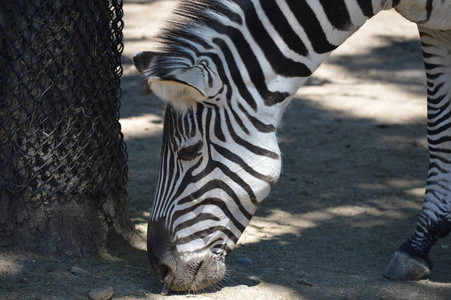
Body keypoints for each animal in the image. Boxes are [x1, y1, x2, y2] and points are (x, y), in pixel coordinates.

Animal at [133, 0, 451, 292]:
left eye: (189, 152)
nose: (159, 267)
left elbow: (440, 130)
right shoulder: (433, 28)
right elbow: (439, 128)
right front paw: (420, 244)